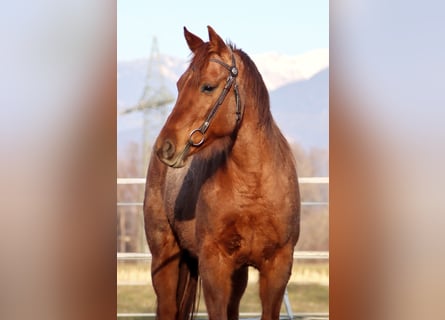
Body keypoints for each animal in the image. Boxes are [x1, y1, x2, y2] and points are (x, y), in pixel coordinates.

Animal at [144, 26, 300, 320]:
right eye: (179, 85)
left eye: (208, 86)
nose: (165, 147)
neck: (253, 184)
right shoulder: (214, 267)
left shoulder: (277, 267)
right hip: (164, 259)